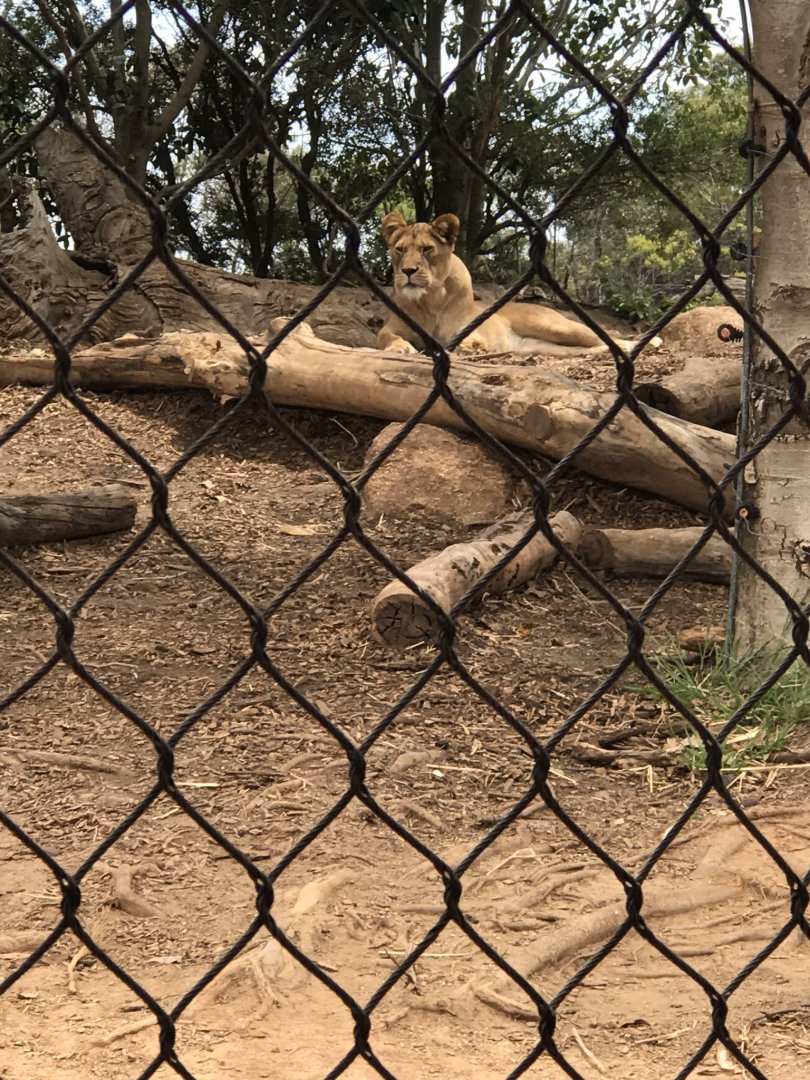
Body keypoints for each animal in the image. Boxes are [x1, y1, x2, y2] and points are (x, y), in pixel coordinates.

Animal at [378, 212, 656, 355]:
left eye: (427, 249)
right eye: (400, 250)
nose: (408, 271)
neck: (429, 299)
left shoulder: (463, 327)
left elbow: (469, 338)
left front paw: (472, 346)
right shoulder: (392, 326)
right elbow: (385, 336)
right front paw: (400, 347)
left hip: (554, 326)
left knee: (604, 335)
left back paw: (642, 344)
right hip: (546, 347)